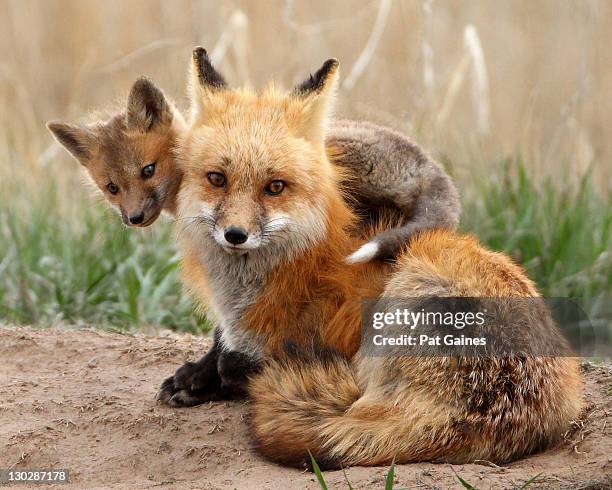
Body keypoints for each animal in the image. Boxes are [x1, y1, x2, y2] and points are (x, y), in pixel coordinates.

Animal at [166, 48, 584, 468]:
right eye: (216, 179)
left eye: (275, 187)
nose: (235, 235)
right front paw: (197, 376)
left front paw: (215, 375)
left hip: (407, 294)